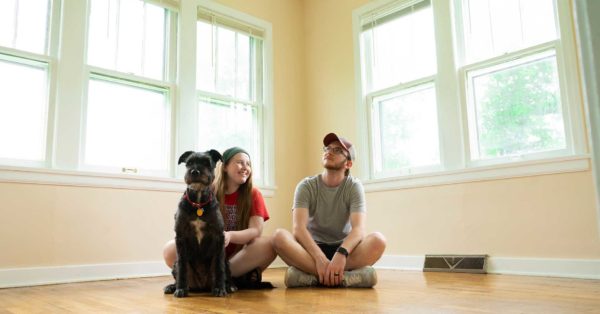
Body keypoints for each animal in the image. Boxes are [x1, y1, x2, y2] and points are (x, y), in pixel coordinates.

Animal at [163, 151, 236, 298]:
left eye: (207, 162)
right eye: (189, 162)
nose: (195, 171)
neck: (198, 203)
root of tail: (201, 286)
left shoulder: (219, 237)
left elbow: (218, 267)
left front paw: (220, 288)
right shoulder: (180, 237)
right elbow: (182, 267)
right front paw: (180, 289)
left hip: (226, 262)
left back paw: (229, 286)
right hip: (175, 264)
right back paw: (172, 286)